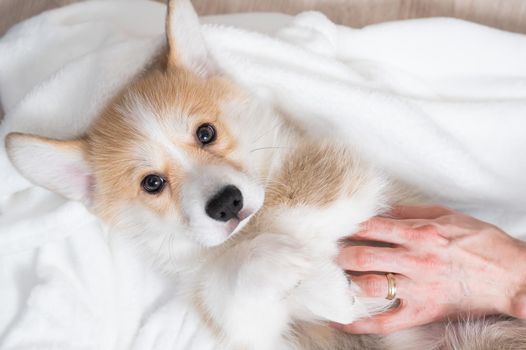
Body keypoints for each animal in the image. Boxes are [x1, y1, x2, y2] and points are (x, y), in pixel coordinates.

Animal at [5, 0, 526, 350]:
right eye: (151, 183)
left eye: (206, 132)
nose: (227, 204)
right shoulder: (254, 329)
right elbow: (236, 285)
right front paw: (304, 276)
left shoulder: (346, 180)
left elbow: (298, 219)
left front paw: (320, 279)